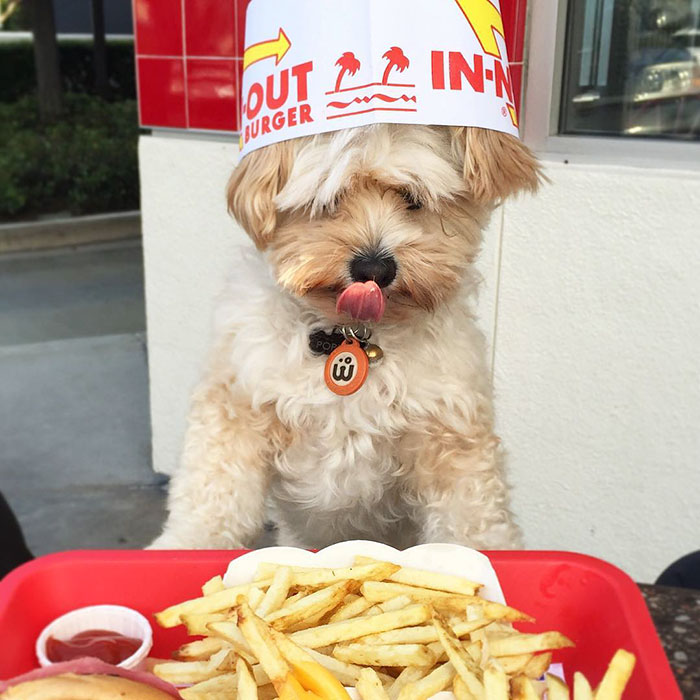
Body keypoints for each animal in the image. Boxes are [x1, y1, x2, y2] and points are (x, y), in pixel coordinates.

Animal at [150, 124, 540, 552]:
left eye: (412, 198)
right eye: (328, 200)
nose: (374, 268)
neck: (349, 333)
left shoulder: (450, 433)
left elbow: (473, 518)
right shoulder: (237, 404)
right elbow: (213, 495)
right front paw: (184, 544)